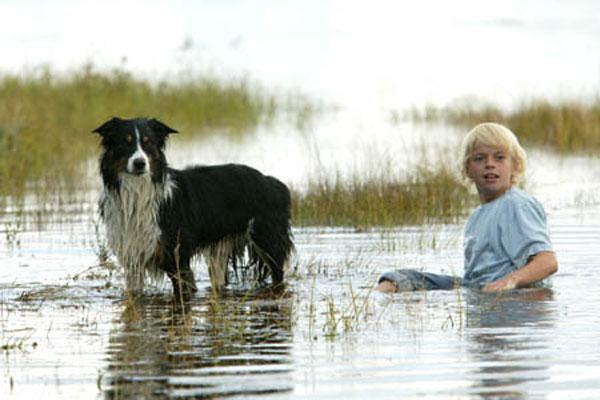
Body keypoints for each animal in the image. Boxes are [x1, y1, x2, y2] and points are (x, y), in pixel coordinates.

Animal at [91, 117, 292, 298]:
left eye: (148, 143)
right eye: (125, 143)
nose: (140, 163)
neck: (138, 190)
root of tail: (272, 181)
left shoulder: (177, 258)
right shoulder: (133, 258)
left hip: (268, 241)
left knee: (278, 275)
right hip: (221, 249)